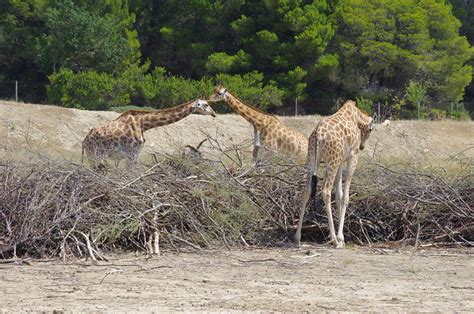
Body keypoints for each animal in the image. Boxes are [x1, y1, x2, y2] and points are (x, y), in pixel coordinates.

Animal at [82, 98, 216, 170]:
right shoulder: (131, 153)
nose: (214, 114)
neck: (144, 124)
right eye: (206, 104)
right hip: (94, 154)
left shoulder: (136, 153)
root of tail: (84, 141)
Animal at [296, 100, 374, 248]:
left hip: (313, 158)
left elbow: (339, 195)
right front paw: (340, 238)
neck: (356, 117)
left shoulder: (340, 161)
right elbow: (345, 197)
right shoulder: (352, 157)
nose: (362, 147)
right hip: (332, 160)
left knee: (306, 190)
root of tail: (318, 135)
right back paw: (333, 239)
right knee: (325, 191)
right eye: (370, 130)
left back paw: (297, 237)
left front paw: (341, 237)